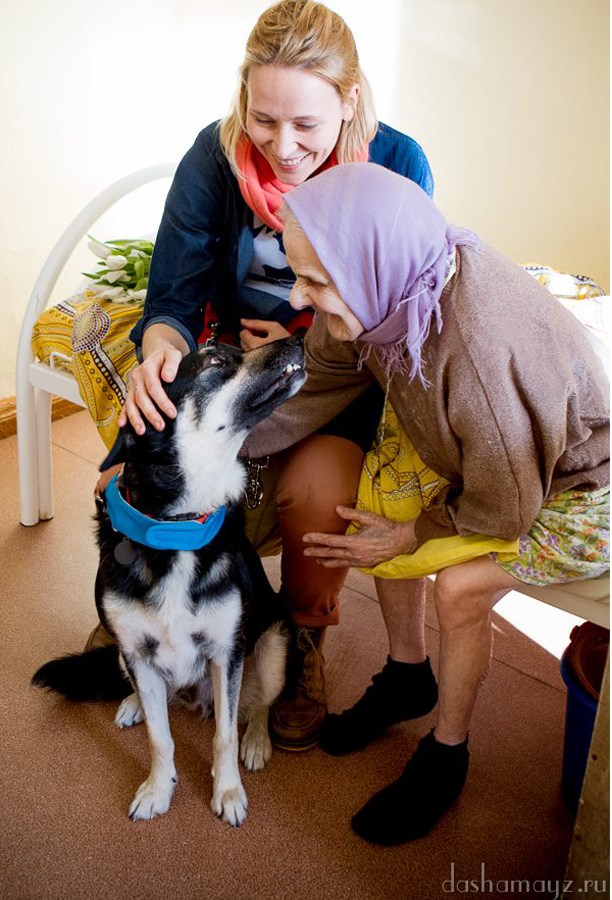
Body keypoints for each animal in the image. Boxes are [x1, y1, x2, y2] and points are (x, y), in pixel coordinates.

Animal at [32, 336, 306, 826]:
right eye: (215, 359)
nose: (297, 339)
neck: (176, 526)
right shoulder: (137, 653)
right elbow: (160, 739)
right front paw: (158, 789)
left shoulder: (226, 653)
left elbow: (225, 736)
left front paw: (228, 791)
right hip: (126, 657)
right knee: (156, 697)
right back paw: (135, 704)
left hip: (274, 642)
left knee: (258, 705)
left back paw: (258, 742)